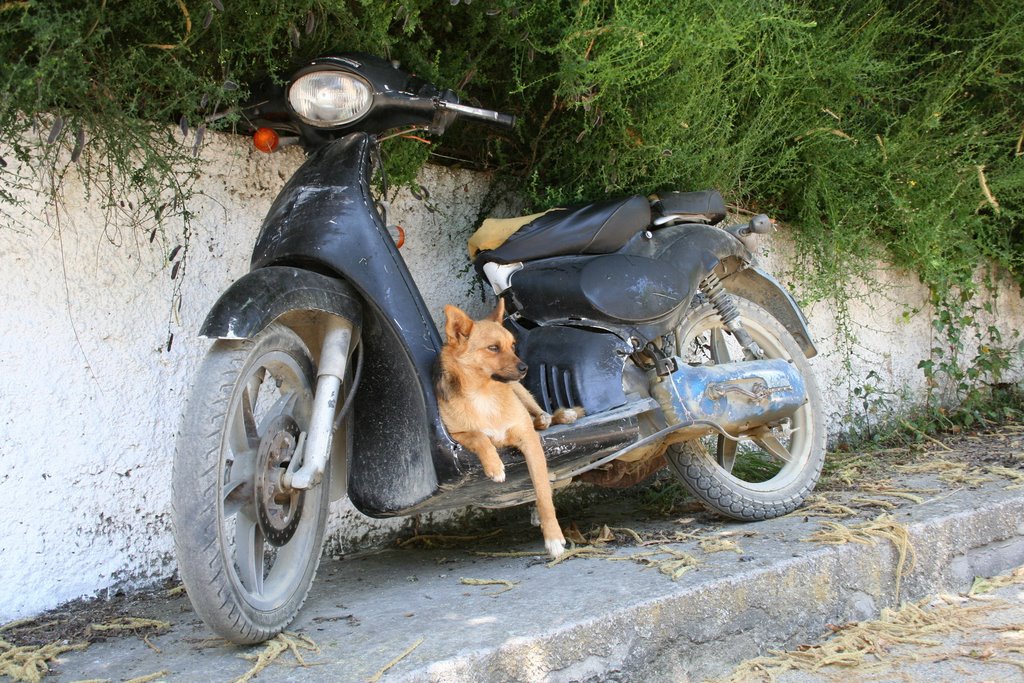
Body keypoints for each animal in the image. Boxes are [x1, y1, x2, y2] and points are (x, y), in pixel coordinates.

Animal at [434, 301, 585, 557]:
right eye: (493, 348)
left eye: (513, 346)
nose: (525, 367)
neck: (484, 394)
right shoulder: (455, 436)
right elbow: (479, 435)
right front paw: (495, 466)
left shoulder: (530, 442)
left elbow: (542, 492)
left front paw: (553, 537)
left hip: (521, 391)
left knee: (539, 414)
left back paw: (559, 415)